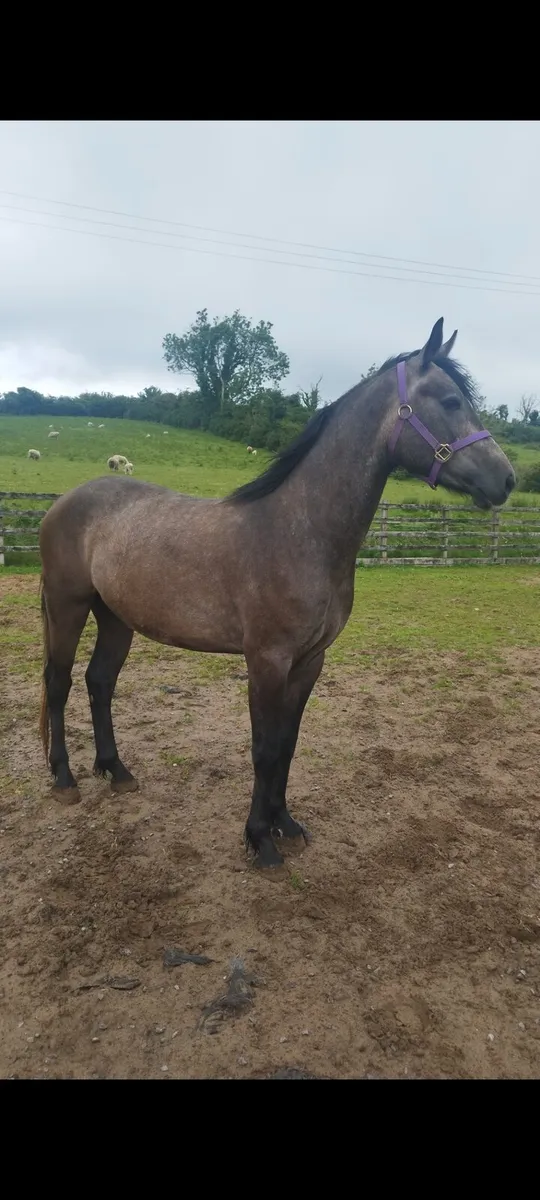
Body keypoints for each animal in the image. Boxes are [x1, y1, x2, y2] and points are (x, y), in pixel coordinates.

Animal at [38, 319, 515, 870]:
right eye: (451, 400)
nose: (506, 479)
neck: (299, 530)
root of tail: (64, 503)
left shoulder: (309, 661)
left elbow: (287, 744)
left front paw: (285, 824)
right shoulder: (266, 660)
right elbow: (263, 749)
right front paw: (260, 842)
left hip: (116, 617)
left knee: (99, 682)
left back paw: (116, 771)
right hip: (69, 608)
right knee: (59, 683)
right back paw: (64, 779)